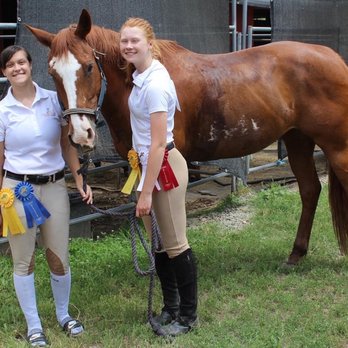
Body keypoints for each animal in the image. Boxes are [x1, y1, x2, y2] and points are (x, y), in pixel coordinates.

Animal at [25, 8, 348, 264]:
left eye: (89, 66)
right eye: (53, 73)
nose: (81, 133)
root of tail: (333, 58)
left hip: (337, 148)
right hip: (298, 141)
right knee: (310, 190)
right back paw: (296, 254)